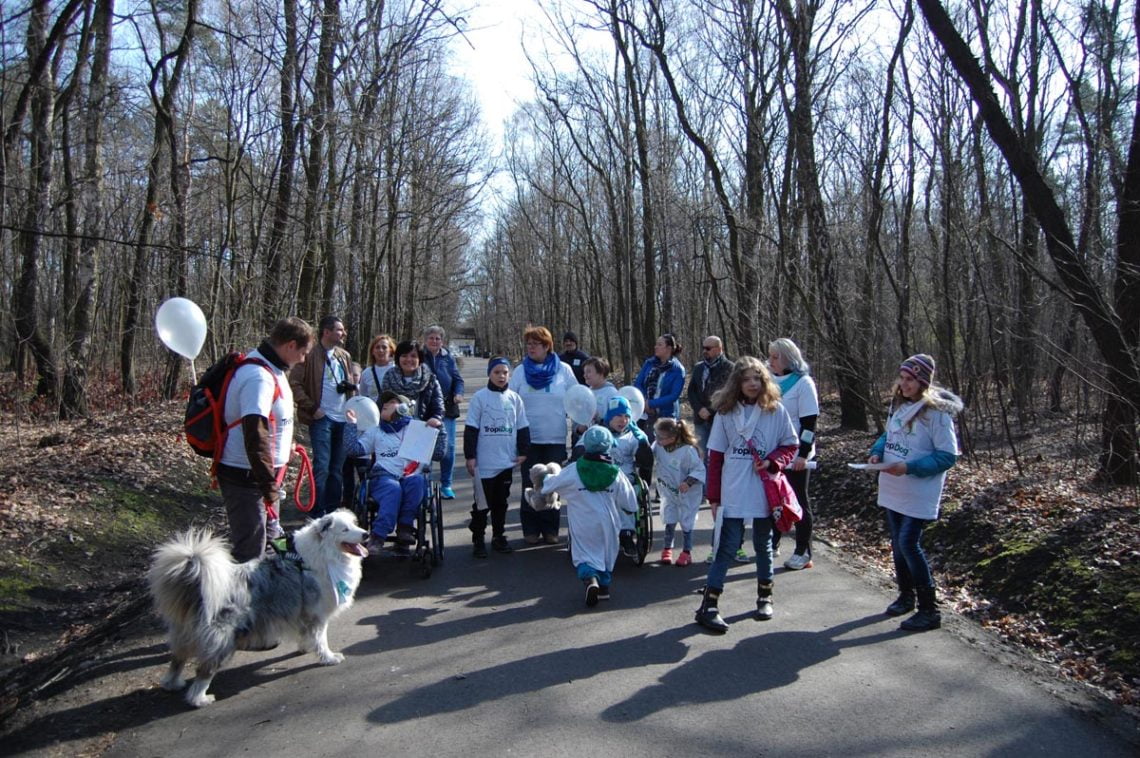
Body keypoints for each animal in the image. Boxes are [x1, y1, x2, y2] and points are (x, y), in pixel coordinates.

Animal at [147, 506, 367, 706]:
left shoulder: (303, 613)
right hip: (222, 638)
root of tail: (199, 587)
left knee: (177, 659)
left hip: (183, 635)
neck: (323, 555)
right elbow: (321, 640)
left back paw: (172, 684)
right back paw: (200, 699)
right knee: (204, 670)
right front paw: (329, 658)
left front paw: (305, 648)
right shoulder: (317, 614)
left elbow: (306, 635)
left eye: (355, 524)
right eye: (345, 529)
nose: (366, 534)